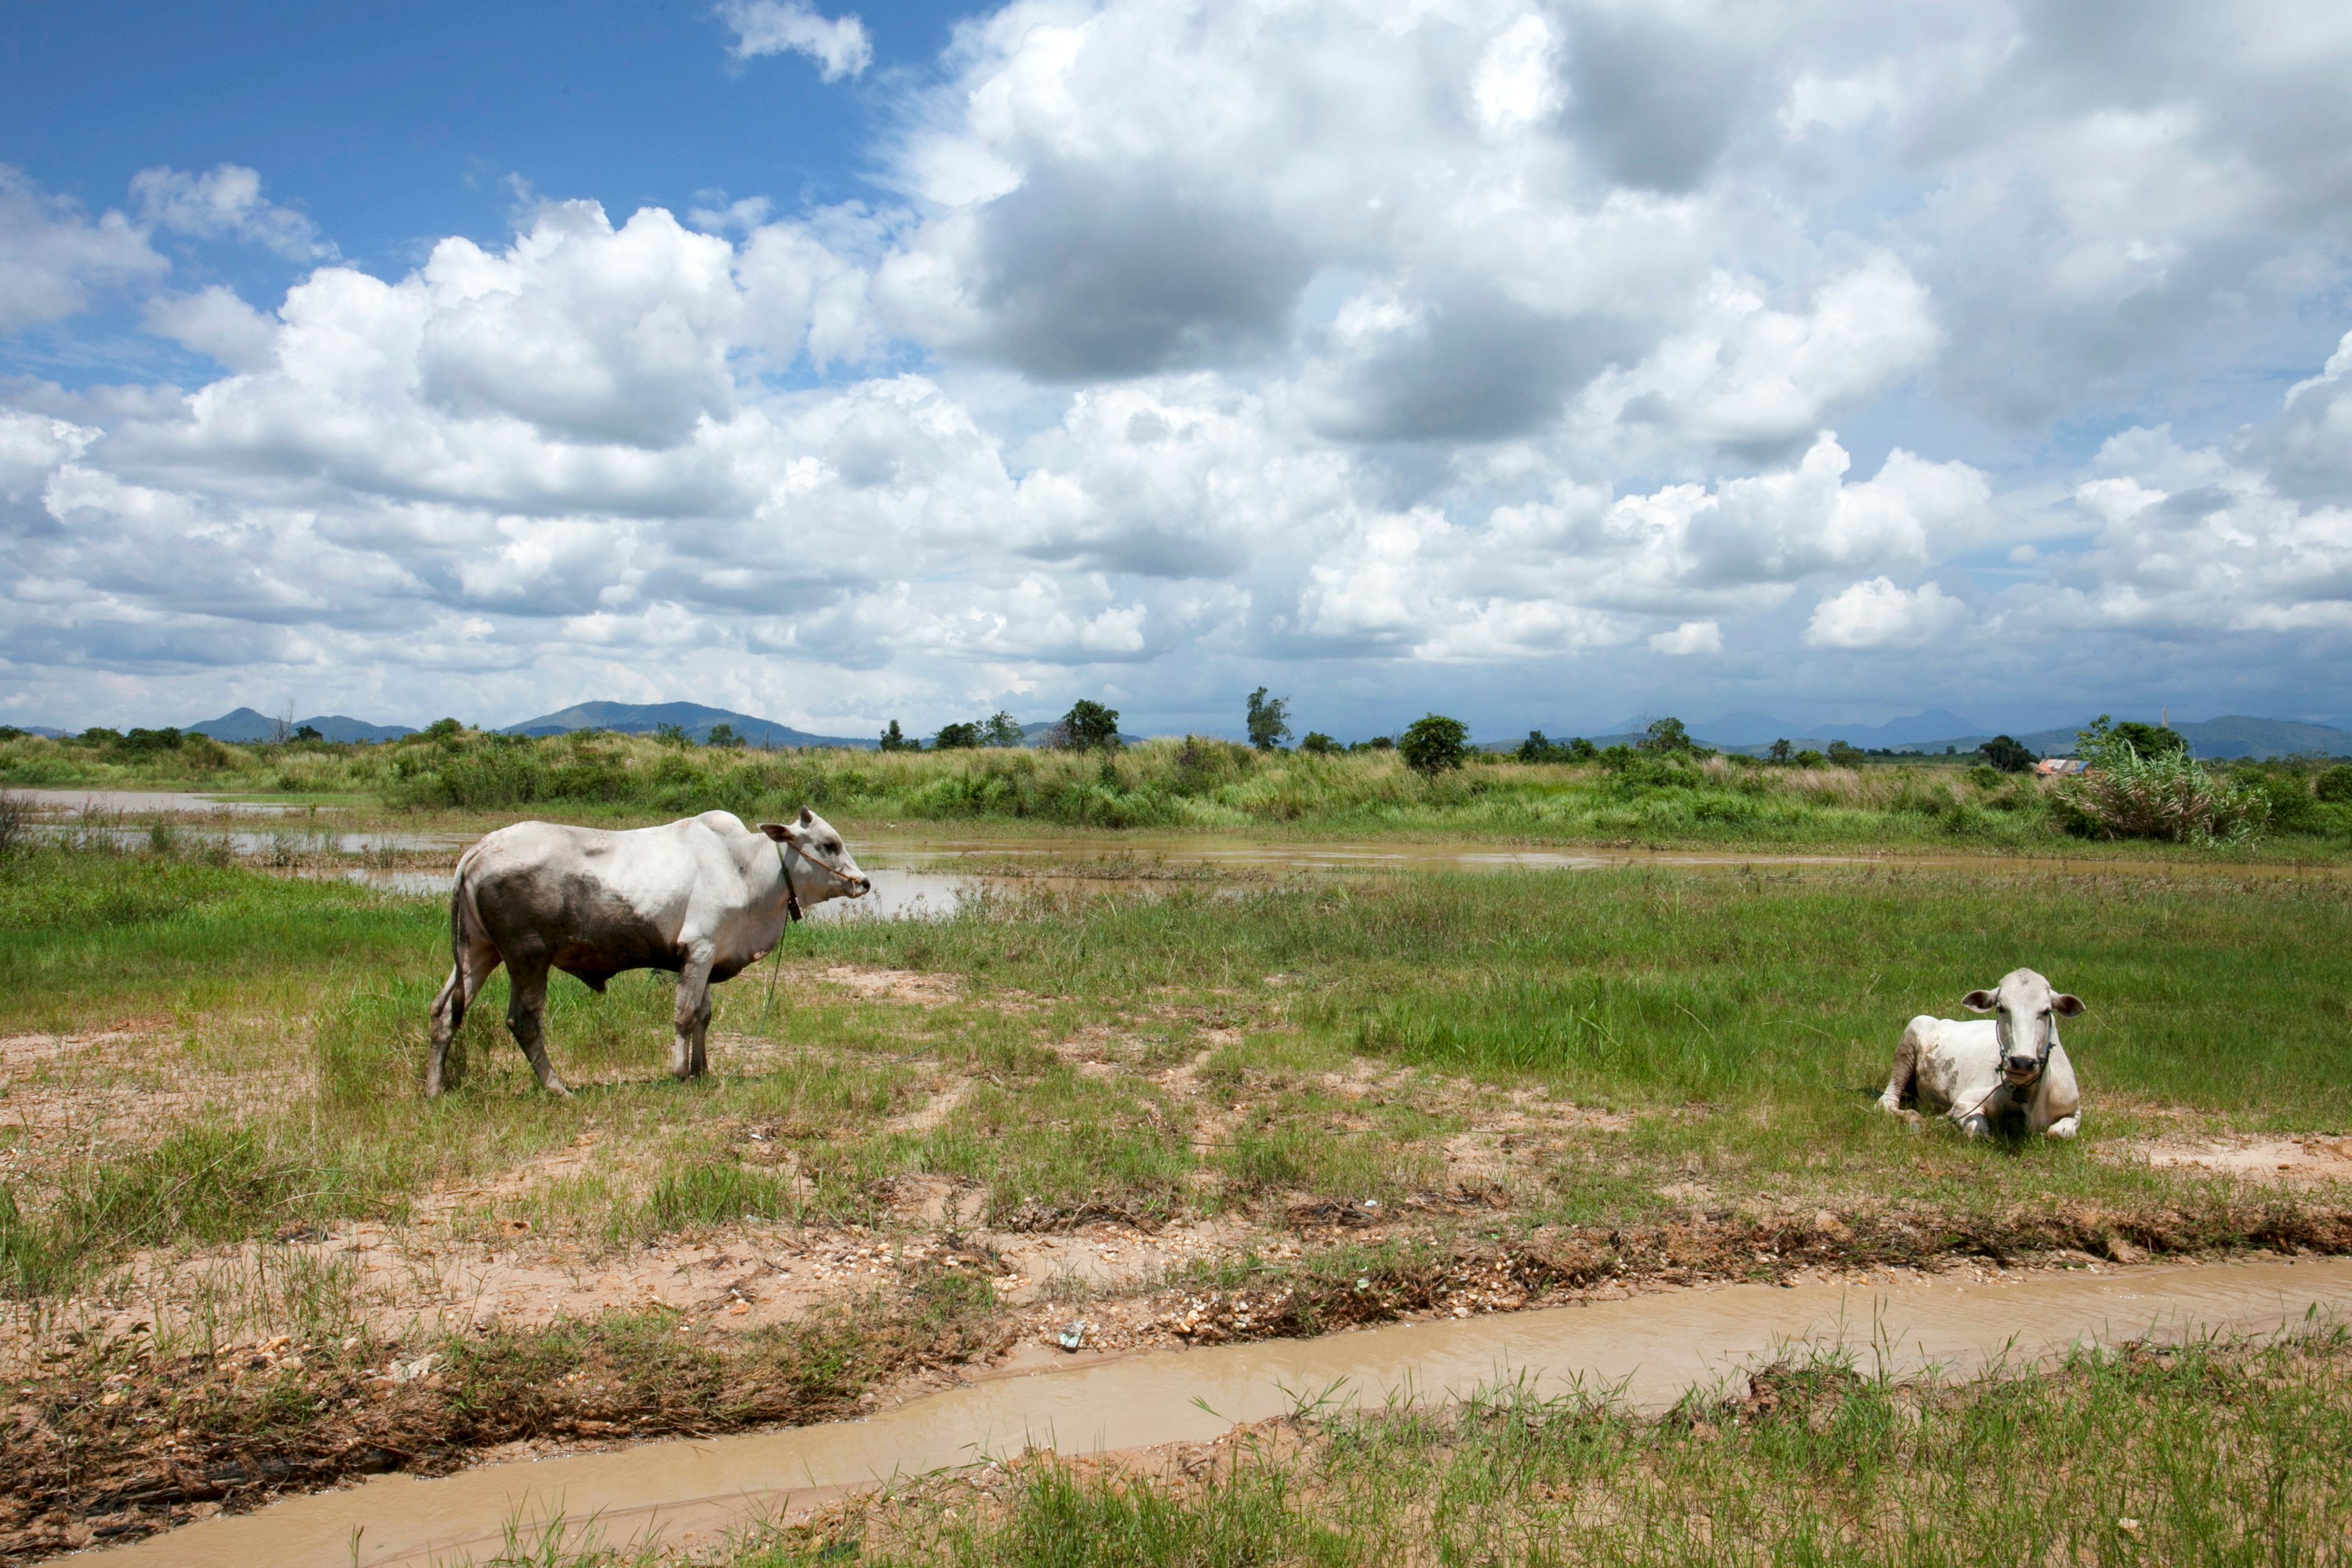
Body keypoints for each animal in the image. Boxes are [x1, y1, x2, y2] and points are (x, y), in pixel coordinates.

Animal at [425, 808, 869, 1097]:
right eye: (829, 844)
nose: (863, 882)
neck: (744, 867)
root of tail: (481, 848)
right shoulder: (699, 950)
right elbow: (684, 1015)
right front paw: (679, 1072)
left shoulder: (708, 956)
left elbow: (703, 1015)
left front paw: (702, 1069)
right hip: (528, 957)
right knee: (524, 1021)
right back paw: (556, 1087)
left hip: (478, 951)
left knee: (444, 1010)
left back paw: (435, 1089)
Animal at [1878, 968, 2084, 1139]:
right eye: (2001, 1008)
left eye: (2046, 1011)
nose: (2022, 1062)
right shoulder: (1967, 1100)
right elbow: (1977, 1132)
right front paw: (1948, 1121)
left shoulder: (2074, 1109)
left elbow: (2059, 1132)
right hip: (1914, 1032)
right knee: (1886, 1102)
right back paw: (1915, 1117)